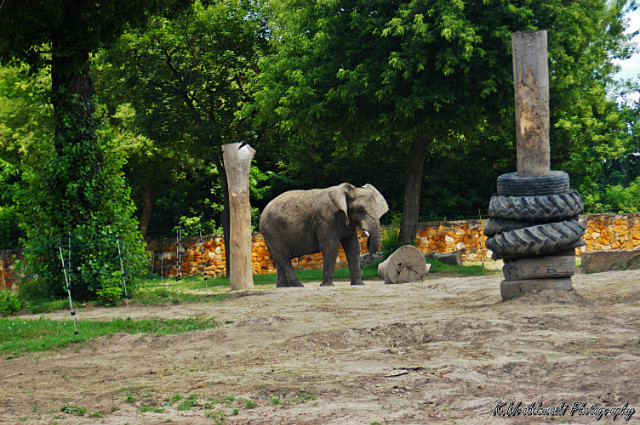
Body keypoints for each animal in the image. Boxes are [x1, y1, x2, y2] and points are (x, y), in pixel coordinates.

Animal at [260, 182, 390, 288]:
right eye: (360, 210)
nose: (367, 239)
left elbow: (353, 247)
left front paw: (359, 284)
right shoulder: (325, 219)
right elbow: (331, 246)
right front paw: (327, 286)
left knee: (279, 258)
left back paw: (282, 287)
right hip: (272, 231)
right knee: (284, 256)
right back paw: (298, 286)